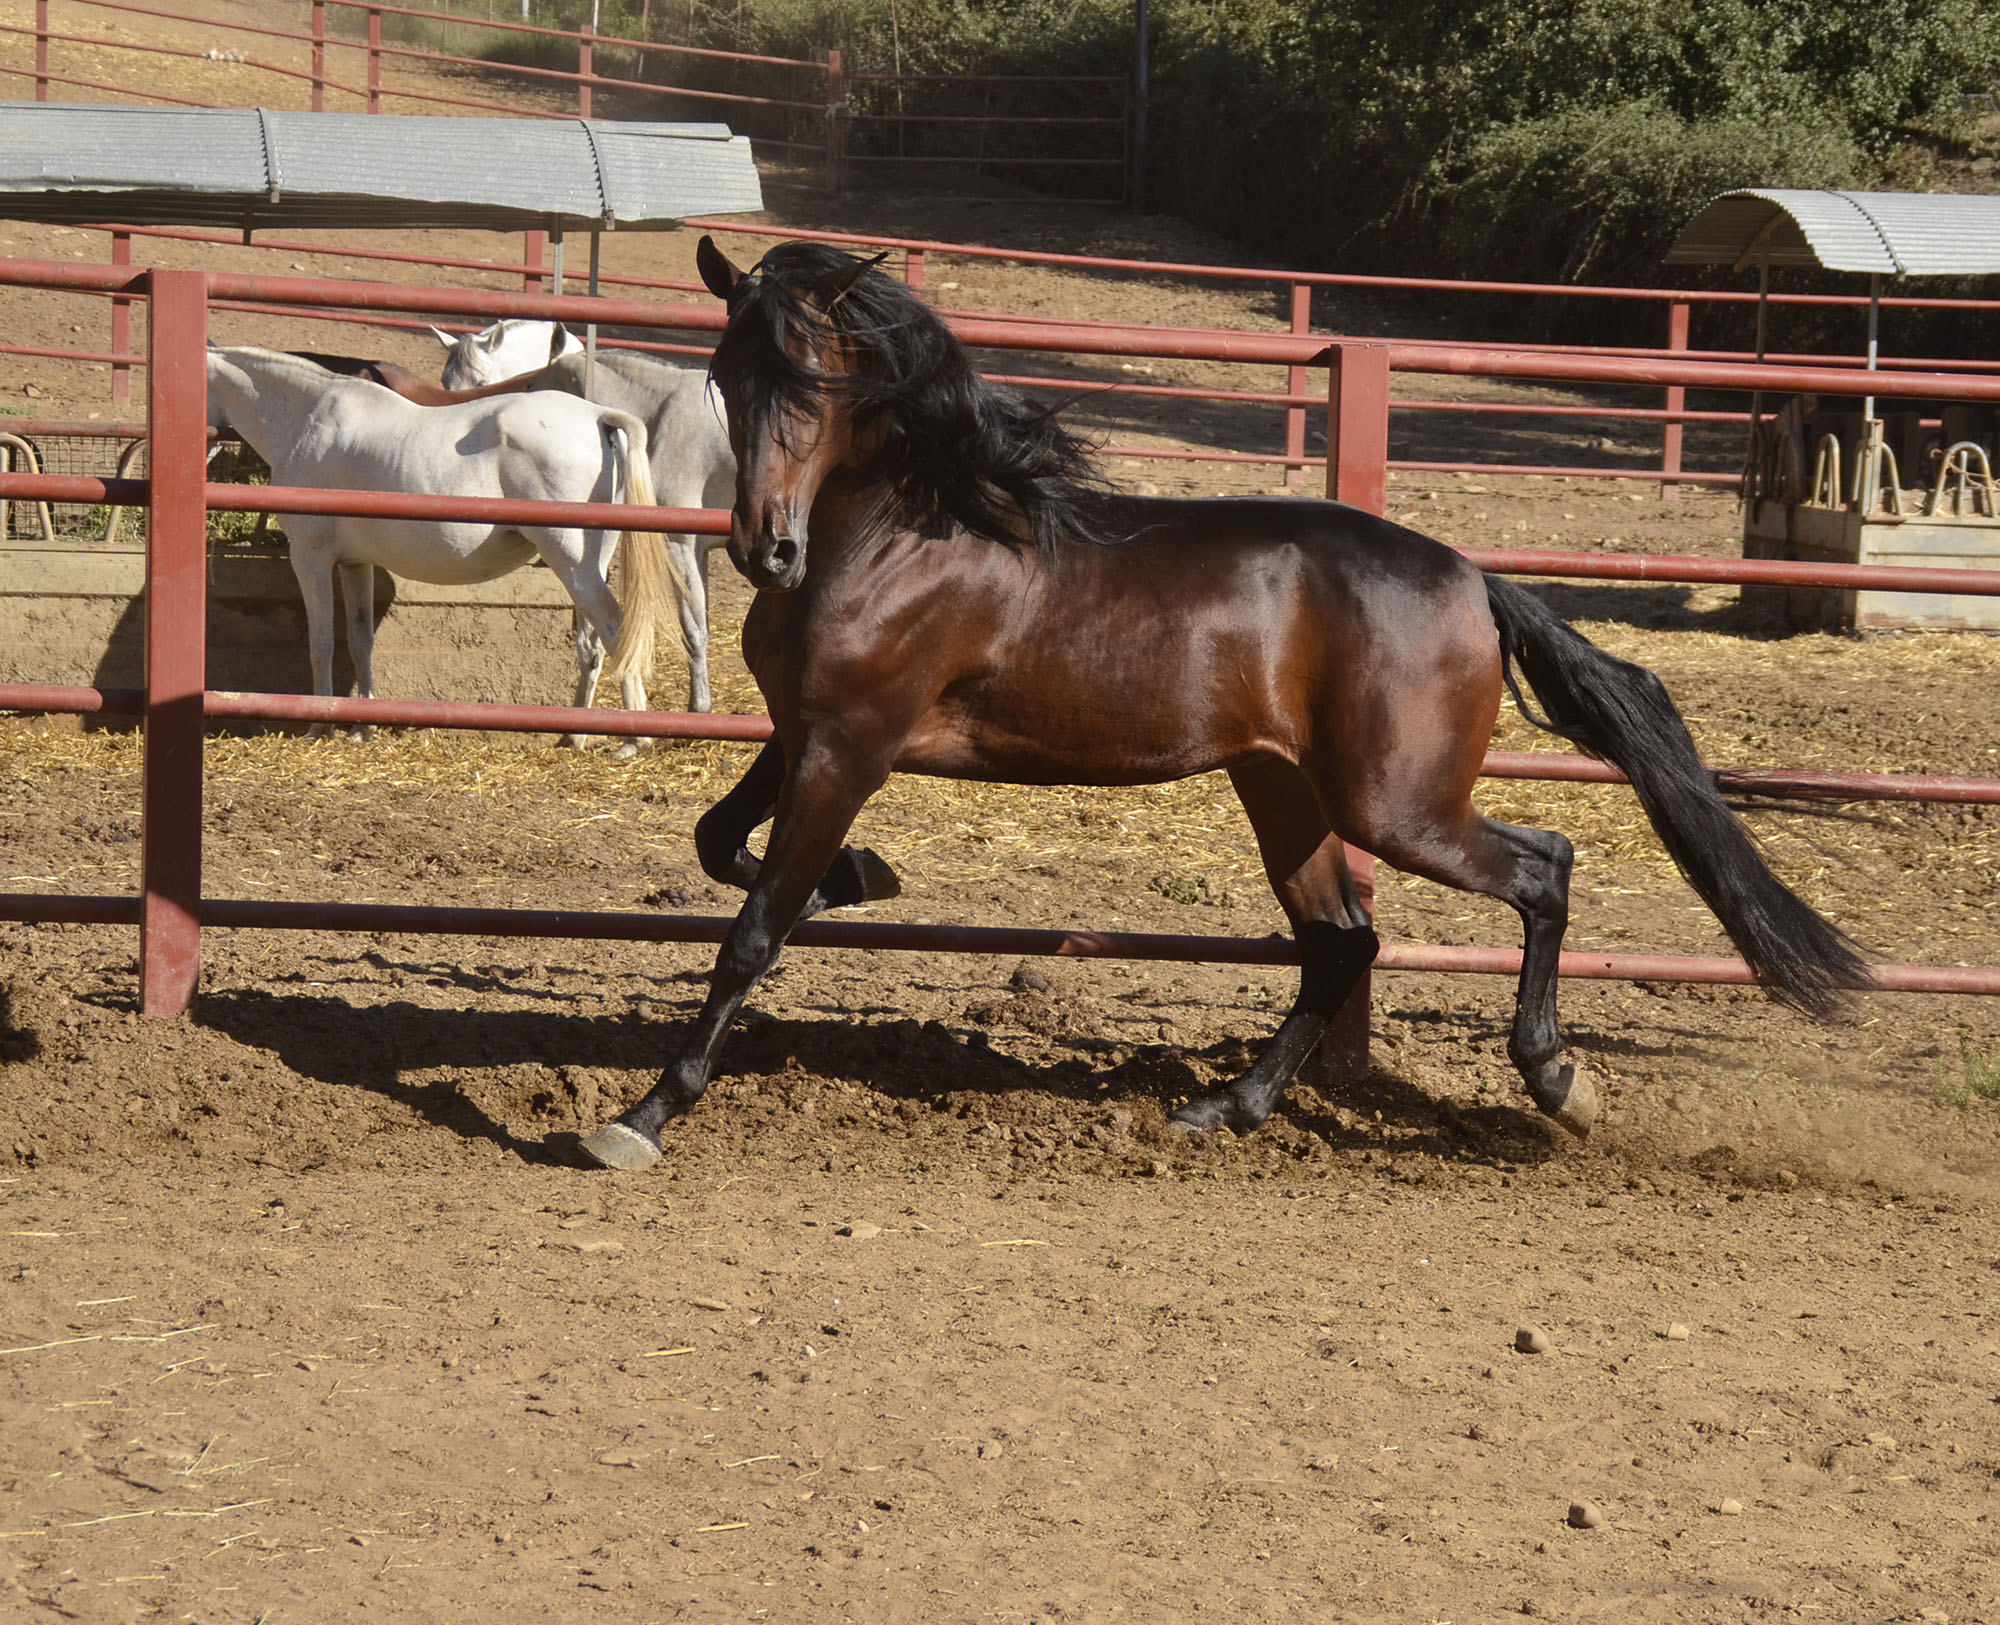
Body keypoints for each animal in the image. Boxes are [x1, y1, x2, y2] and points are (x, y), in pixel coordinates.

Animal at [206, 346, 672, 752]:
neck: (309, 418)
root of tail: (597, 416)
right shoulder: (355, 564)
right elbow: (359, 640)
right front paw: (362, 726)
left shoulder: (311, 559)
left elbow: (321, 642)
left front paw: (320, 727)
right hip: (589, 569)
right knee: (592, 647)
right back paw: (575, 735)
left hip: (573, 565)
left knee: (616, 632)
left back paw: (634, 740)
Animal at [438, 320, 736, 712]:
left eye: (482, 380)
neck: (664, 412)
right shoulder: (696, 549)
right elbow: (699, 625)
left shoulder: (681, 544)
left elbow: (694, 629)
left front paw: (698, 707)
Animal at [572, 235, 1864, 1168]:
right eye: (727, 378)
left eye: (816, 380)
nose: (765, 549)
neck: (906, 532)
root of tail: (1473, 579)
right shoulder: (802, 735)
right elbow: (718, 845)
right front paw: (861, 875)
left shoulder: (852, 744)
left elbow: (751, 929)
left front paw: (638, 1117)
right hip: (1283, 788)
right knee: (1342, 940)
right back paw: (1223, 1108)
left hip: (1396, 805)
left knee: (1539, 868)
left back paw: (1555, 1078)